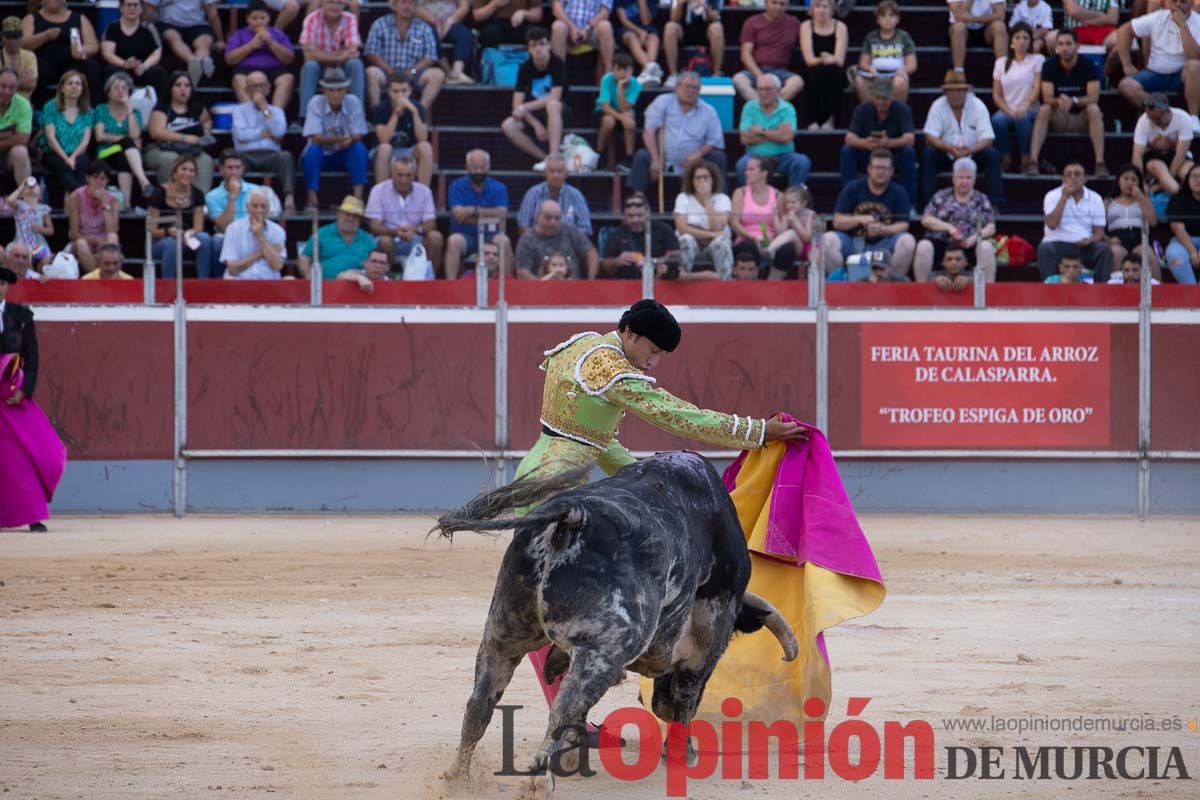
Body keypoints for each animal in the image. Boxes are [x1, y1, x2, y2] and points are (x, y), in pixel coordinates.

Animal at [432, 453, 796, 777]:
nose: (659, 703)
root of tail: (574, 516)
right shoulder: (708, 636)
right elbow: (686, 696)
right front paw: (683, 754)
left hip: (503, 632)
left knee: (479, 705)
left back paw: (459, 779)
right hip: (605, 648)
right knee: (564, 709)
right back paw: (541, 778)